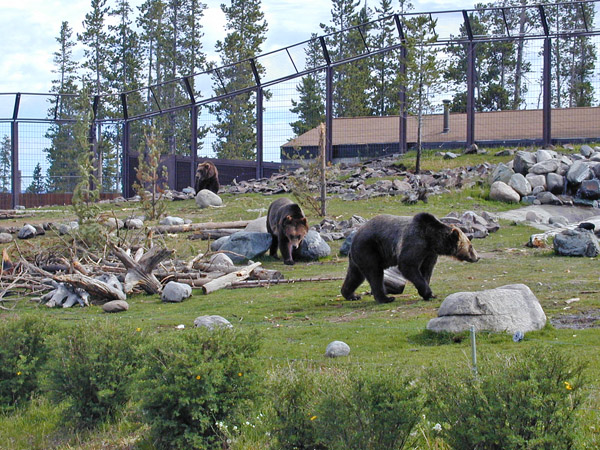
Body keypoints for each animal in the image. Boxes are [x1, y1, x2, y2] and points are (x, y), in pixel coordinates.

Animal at [342, 213, 478, 304]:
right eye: (470, 246)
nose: (477, 257)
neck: (431, 239)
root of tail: (355, 236)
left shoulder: (429, 253)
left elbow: (427, 270)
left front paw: (427, 293)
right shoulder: (414, 242)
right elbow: (408, 265)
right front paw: (429, 293)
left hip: (358, 256)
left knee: (355, 275)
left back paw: (351, 295)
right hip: (370, 248)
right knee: (375, 273)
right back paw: (386, 298)